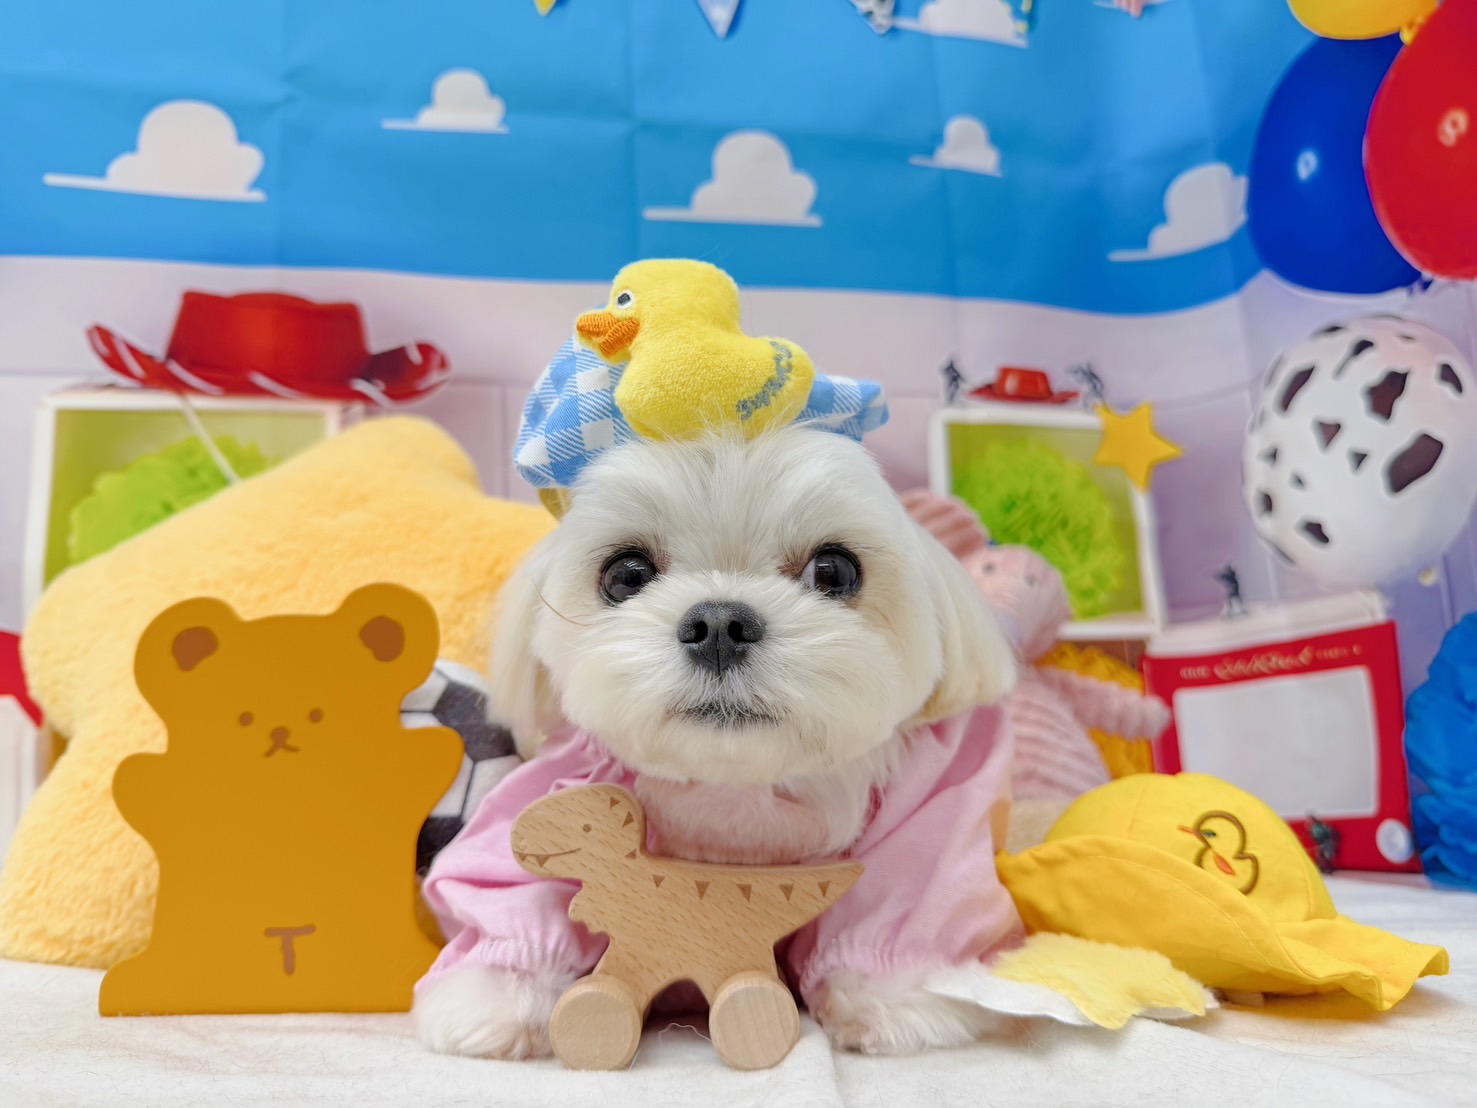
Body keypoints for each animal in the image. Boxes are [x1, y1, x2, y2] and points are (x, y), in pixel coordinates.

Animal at [413, 423, 1022, 1058]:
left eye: (835, 570)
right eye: (626, 574)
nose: (720, 625)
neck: (732, 788)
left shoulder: (932, 796)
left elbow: (905, 891)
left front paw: (896, 1002)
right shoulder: (550, 789)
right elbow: (505, 884)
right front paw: (494, 998)